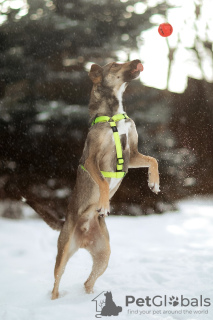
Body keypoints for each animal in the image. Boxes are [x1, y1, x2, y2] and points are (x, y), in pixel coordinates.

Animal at [25, 59, 160, 300]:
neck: (113, 114)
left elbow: (153, 160)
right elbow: (104, 182)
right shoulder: (91, 161)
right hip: (63, 252)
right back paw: (55, 300)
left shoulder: (133, 155)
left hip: (104, 255)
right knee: (56, 282)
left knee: (88, 281)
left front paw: (154, 182)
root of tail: (81, 237)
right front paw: (104, 204)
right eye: (115, 65)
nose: (138, 61)